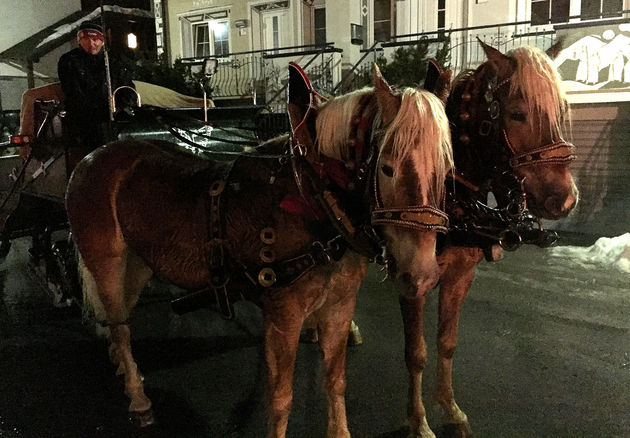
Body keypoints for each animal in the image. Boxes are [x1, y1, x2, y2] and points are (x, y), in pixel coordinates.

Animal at [65, 64, 454, 438]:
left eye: (448, 170)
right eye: (387, 168)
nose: (422, 274)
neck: (314, 193)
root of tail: (92, 157)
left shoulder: (339, 307)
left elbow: (335, 381)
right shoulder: (284, 317)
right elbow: (281, 400)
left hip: (137, 262)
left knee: (119, 314)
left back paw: (122, 365)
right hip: (106, 260)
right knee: (119, 323)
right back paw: (137, 395)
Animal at [400, 42, 584, 438]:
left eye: (562, 110)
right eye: (516, 114)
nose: (564, 199)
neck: (451, 192)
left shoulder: (459, 276)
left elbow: (447, 343)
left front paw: (451, 410)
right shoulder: (412, 283)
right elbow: (416, 353)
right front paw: (418, 421)